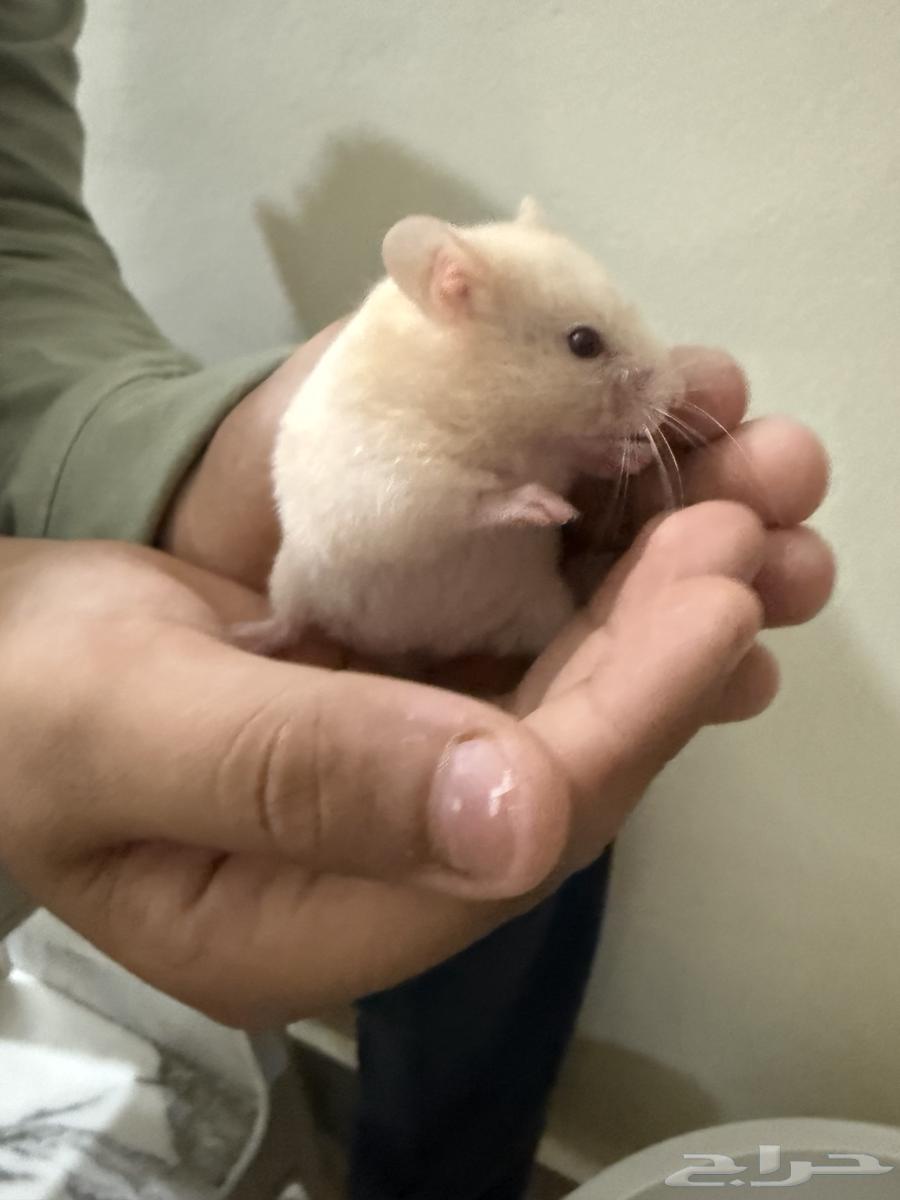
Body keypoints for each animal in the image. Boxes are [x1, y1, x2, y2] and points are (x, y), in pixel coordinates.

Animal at [236, 198, 680, 662]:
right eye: (583, 342)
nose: (676, 395)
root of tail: (413, 641)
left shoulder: (555, 453)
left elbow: (577, 454)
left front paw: (631, 459)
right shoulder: (402, 480)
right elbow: (475, 500)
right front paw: (550, 508)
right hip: (291, 572)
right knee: (290, 617)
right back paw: (248, 636)